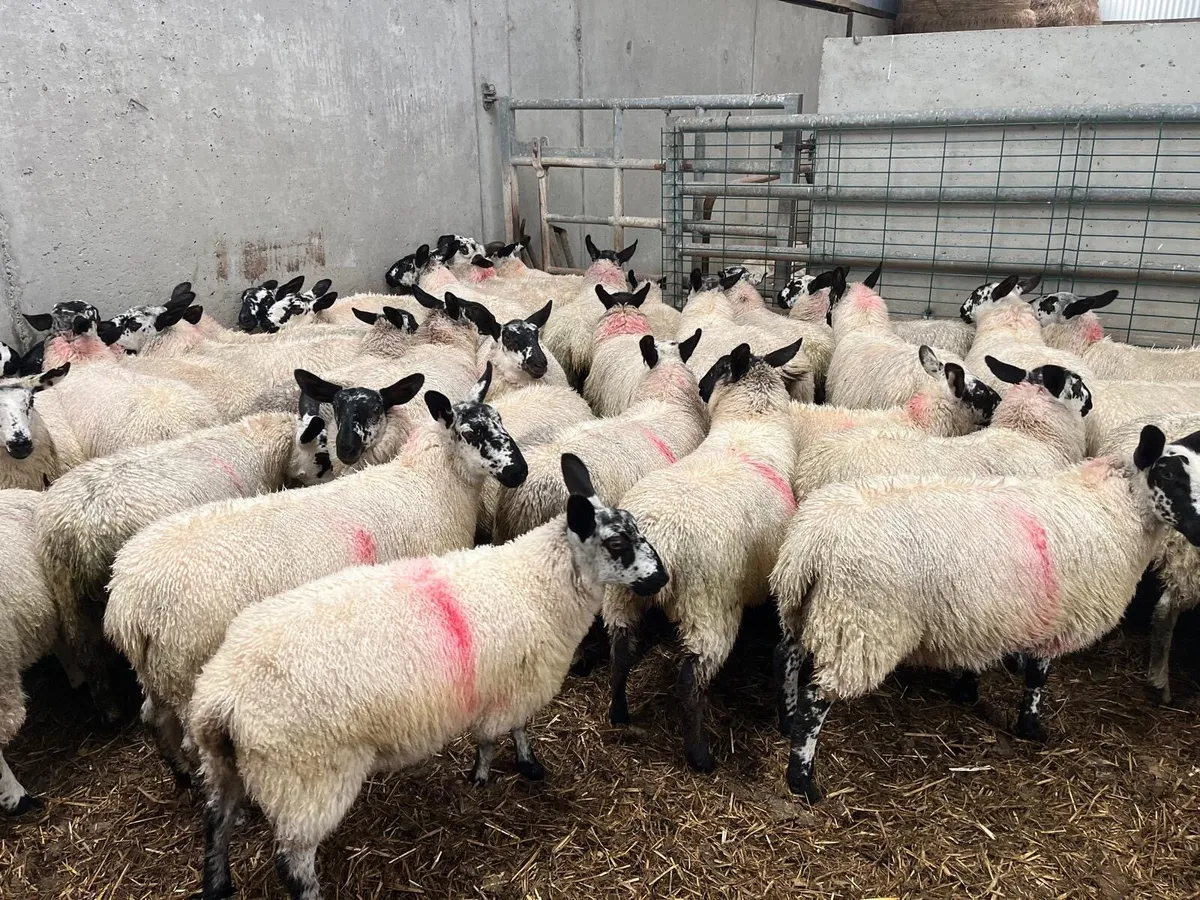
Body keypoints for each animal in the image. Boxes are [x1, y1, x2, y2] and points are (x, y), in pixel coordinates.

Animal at [35, 407, 335, 720]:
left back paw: (107, 708)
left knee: (86, 652)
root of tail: (69, 530)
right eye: (322, 451)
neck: (257, 448)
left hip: (70, 596)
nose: (334, 478)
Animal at [104, 365, 526, 780]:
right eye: (471, 432)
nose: (519, 472)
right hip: (186, 668)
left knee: (154, 718)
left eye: (501, 420)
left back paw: (180, 774)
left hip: (159, 673)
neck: (433, 484)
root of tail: (126, 604)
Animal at [190, 453, 667, 900]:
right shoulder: (519, 683)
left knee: (216, 823)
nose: (661, 577)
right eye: (618, 542)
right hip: (305, 780)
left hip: (224, 765)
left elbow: (492, 735)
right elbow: (510, 730)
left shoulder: (498, 685)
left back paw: (217, 884)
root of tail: (221, 698)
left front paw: (486, 774)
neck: (539, 582)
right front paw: (512, 768)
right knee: (293, 863)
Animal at [605, 340, 802, 773]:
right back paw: (700, 756)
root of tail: (661, 538)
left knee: (621, 651)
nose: (699, 388)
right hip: (708, 605)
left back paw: (618, 712)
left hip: (620, 598)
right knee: (690, 678)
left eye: (714, 368)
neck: (750, 428)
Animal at [768, 424, 1200, 802]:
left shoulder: (991, 614)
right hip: (862, 624)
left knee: (787, 657)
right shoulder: (1058, 616)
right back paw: (802, 781)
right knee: (816, 699)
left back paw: (785, 719)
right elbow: (1038, 677)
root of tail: (810, 544)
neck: (1114, 508)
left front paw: (969, 689)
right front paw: (1031, 727)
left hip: (810, 610)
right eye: (1169, 477)